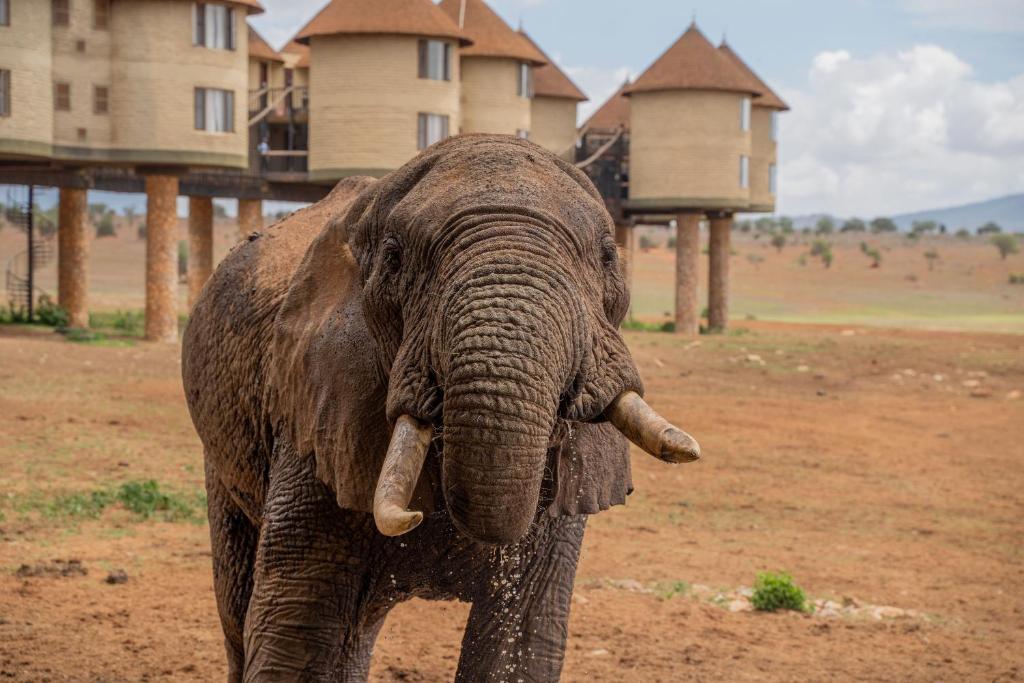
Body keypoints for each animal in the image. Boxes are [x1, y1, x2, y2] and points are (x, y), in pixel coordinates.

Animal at [180, 135, 700, 683]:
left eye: (607, 257)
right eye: (394, 260)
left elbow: (522, 642)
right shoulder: (316, 407)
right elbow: (297, 639)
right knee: (239, 606)